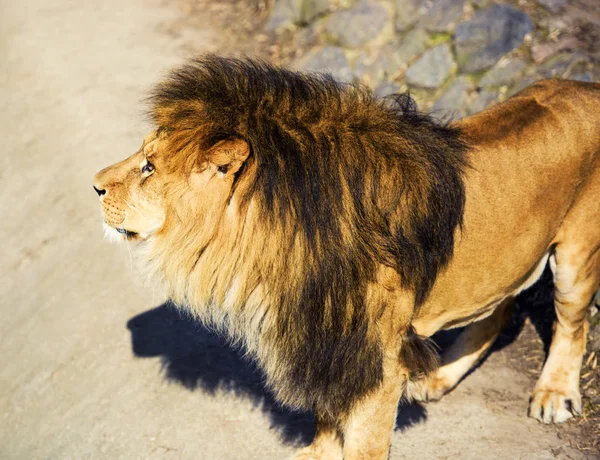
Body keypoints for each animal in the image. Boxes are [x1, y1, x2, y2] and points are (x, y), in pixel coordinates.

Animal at [92, 54, 600, 460]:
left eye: (149, 167)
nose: (94, 186)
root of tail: (587, 87)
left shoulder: (375, 355)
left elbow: (363, 440)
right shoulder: (328, 337)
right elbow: (326, 413)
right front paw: (316, 454)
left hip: (576, 255)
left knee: (572, 325)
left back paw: (554, 394)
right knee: (497, 312)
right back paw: (437, 378)